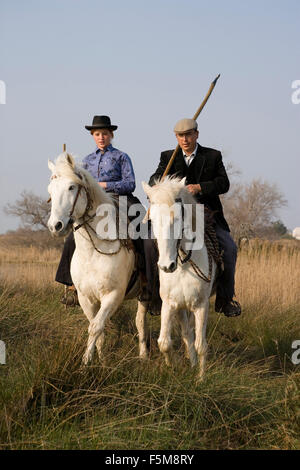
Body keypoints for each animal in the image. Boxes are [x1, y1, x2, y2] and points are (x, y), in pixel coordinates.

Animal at [47, 153, 149, 364]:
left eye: (71, 187)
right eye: (50, 190)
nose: (55, 226)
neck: (92, 253)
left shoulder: (113, 296)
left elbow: (95, 327)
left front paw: (86, 363)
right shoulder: (86, 298)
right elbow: (97, 327)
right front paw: (101, 360)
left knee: (141, 322)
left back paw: (144, 356)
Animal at [142, 176, 217, 378]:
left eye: (176, 219)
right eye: (152, 220)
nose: (166, 266)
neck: (184, 265)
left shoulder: (202, 306)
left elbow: (201, 346)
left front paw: (201, 378)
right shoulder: (169, 304)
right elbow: (164, 343)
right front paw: (172, 366)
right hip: (181, 307)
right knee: (186, 333)